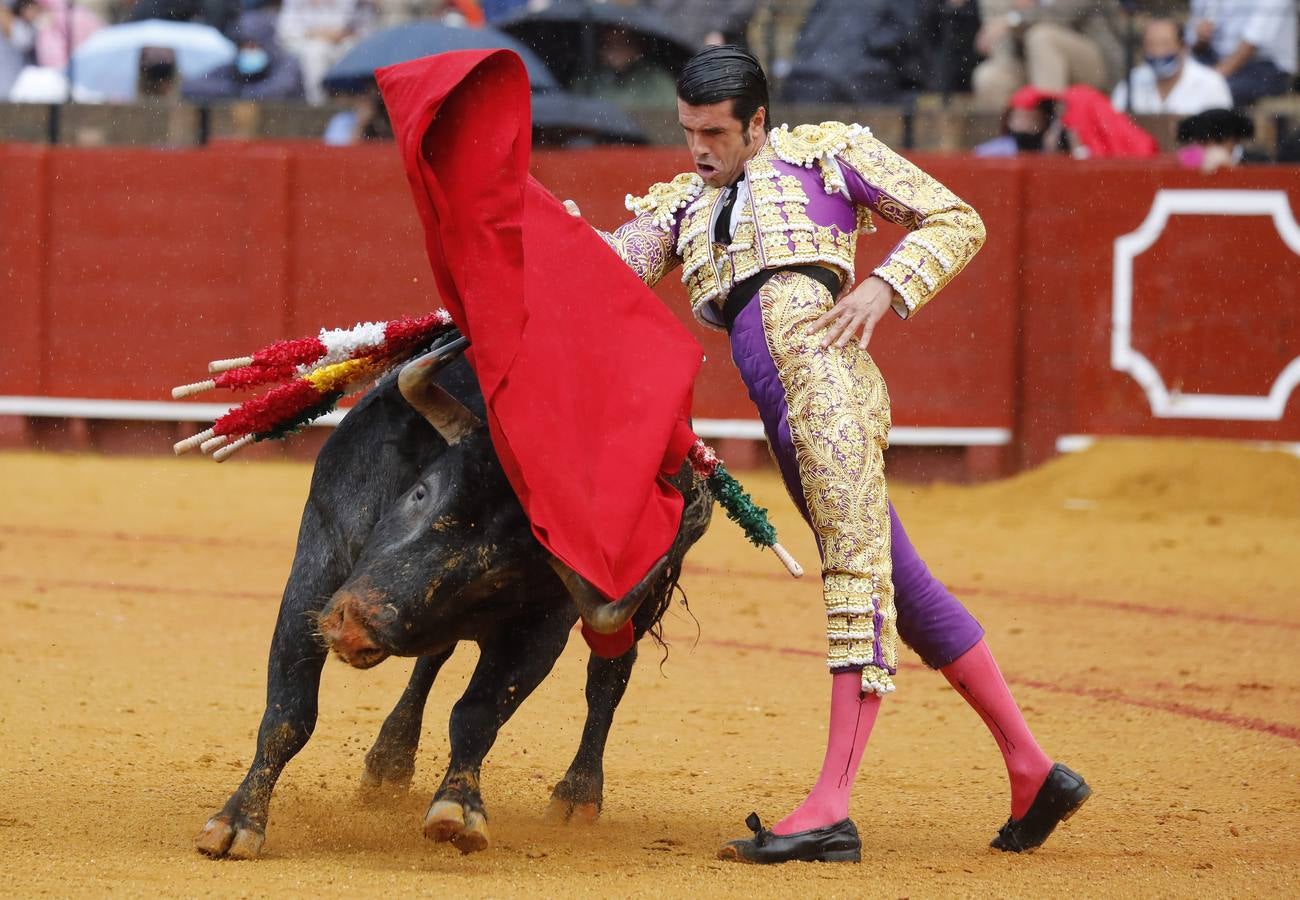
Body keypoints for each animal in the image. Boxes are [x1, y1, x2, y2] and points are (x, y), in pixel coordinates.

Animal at [195, 338, 712, 858]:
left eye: (499, 571)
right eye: (421, 493)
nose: (359, 624)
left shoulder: (543, 628)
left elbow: (477, 715)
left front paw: (458, 807)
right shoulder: (320, 565)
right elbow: (290, 712)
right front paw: (237, 821)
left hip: (637, 607)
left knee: (607, 678)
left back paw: (578, 795)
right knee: (432, 660)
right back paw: (389, 762)